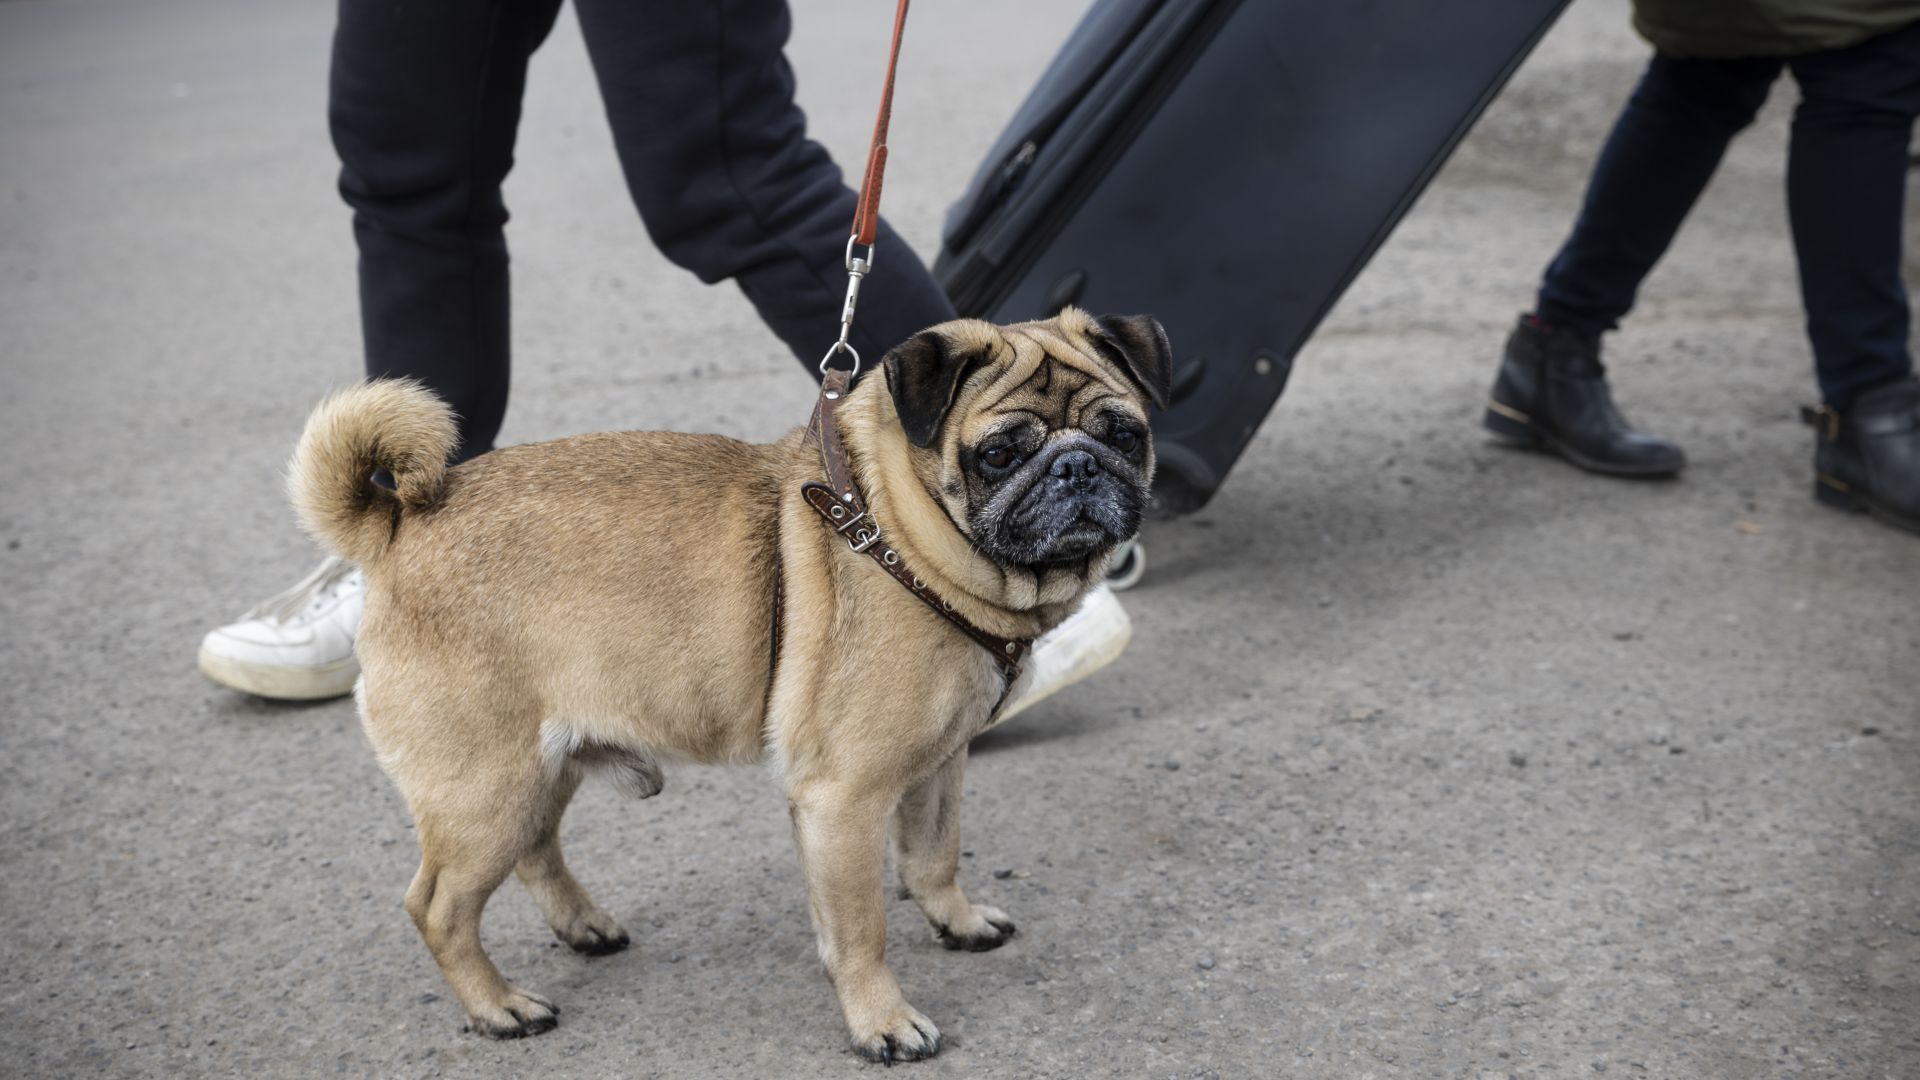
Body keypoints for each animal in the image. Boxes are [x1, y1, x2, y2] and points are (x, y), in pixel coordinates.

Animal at [291, 307, 1167, 1053]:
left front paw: (958, 922)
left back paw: (583, 928)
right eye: (1000, 455)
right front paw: (882, 1023)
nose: (1079, 465)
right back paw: (500, 1007)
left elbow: (933, 857)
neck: (898, 534)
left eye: (1127, 434)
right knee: (440, 908)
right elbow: (860, 929)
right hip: (483, 792)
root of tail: (396, 526)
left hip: (538, 769)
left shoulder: (936, 766)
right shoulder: (844, 799)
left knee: (536, 850)